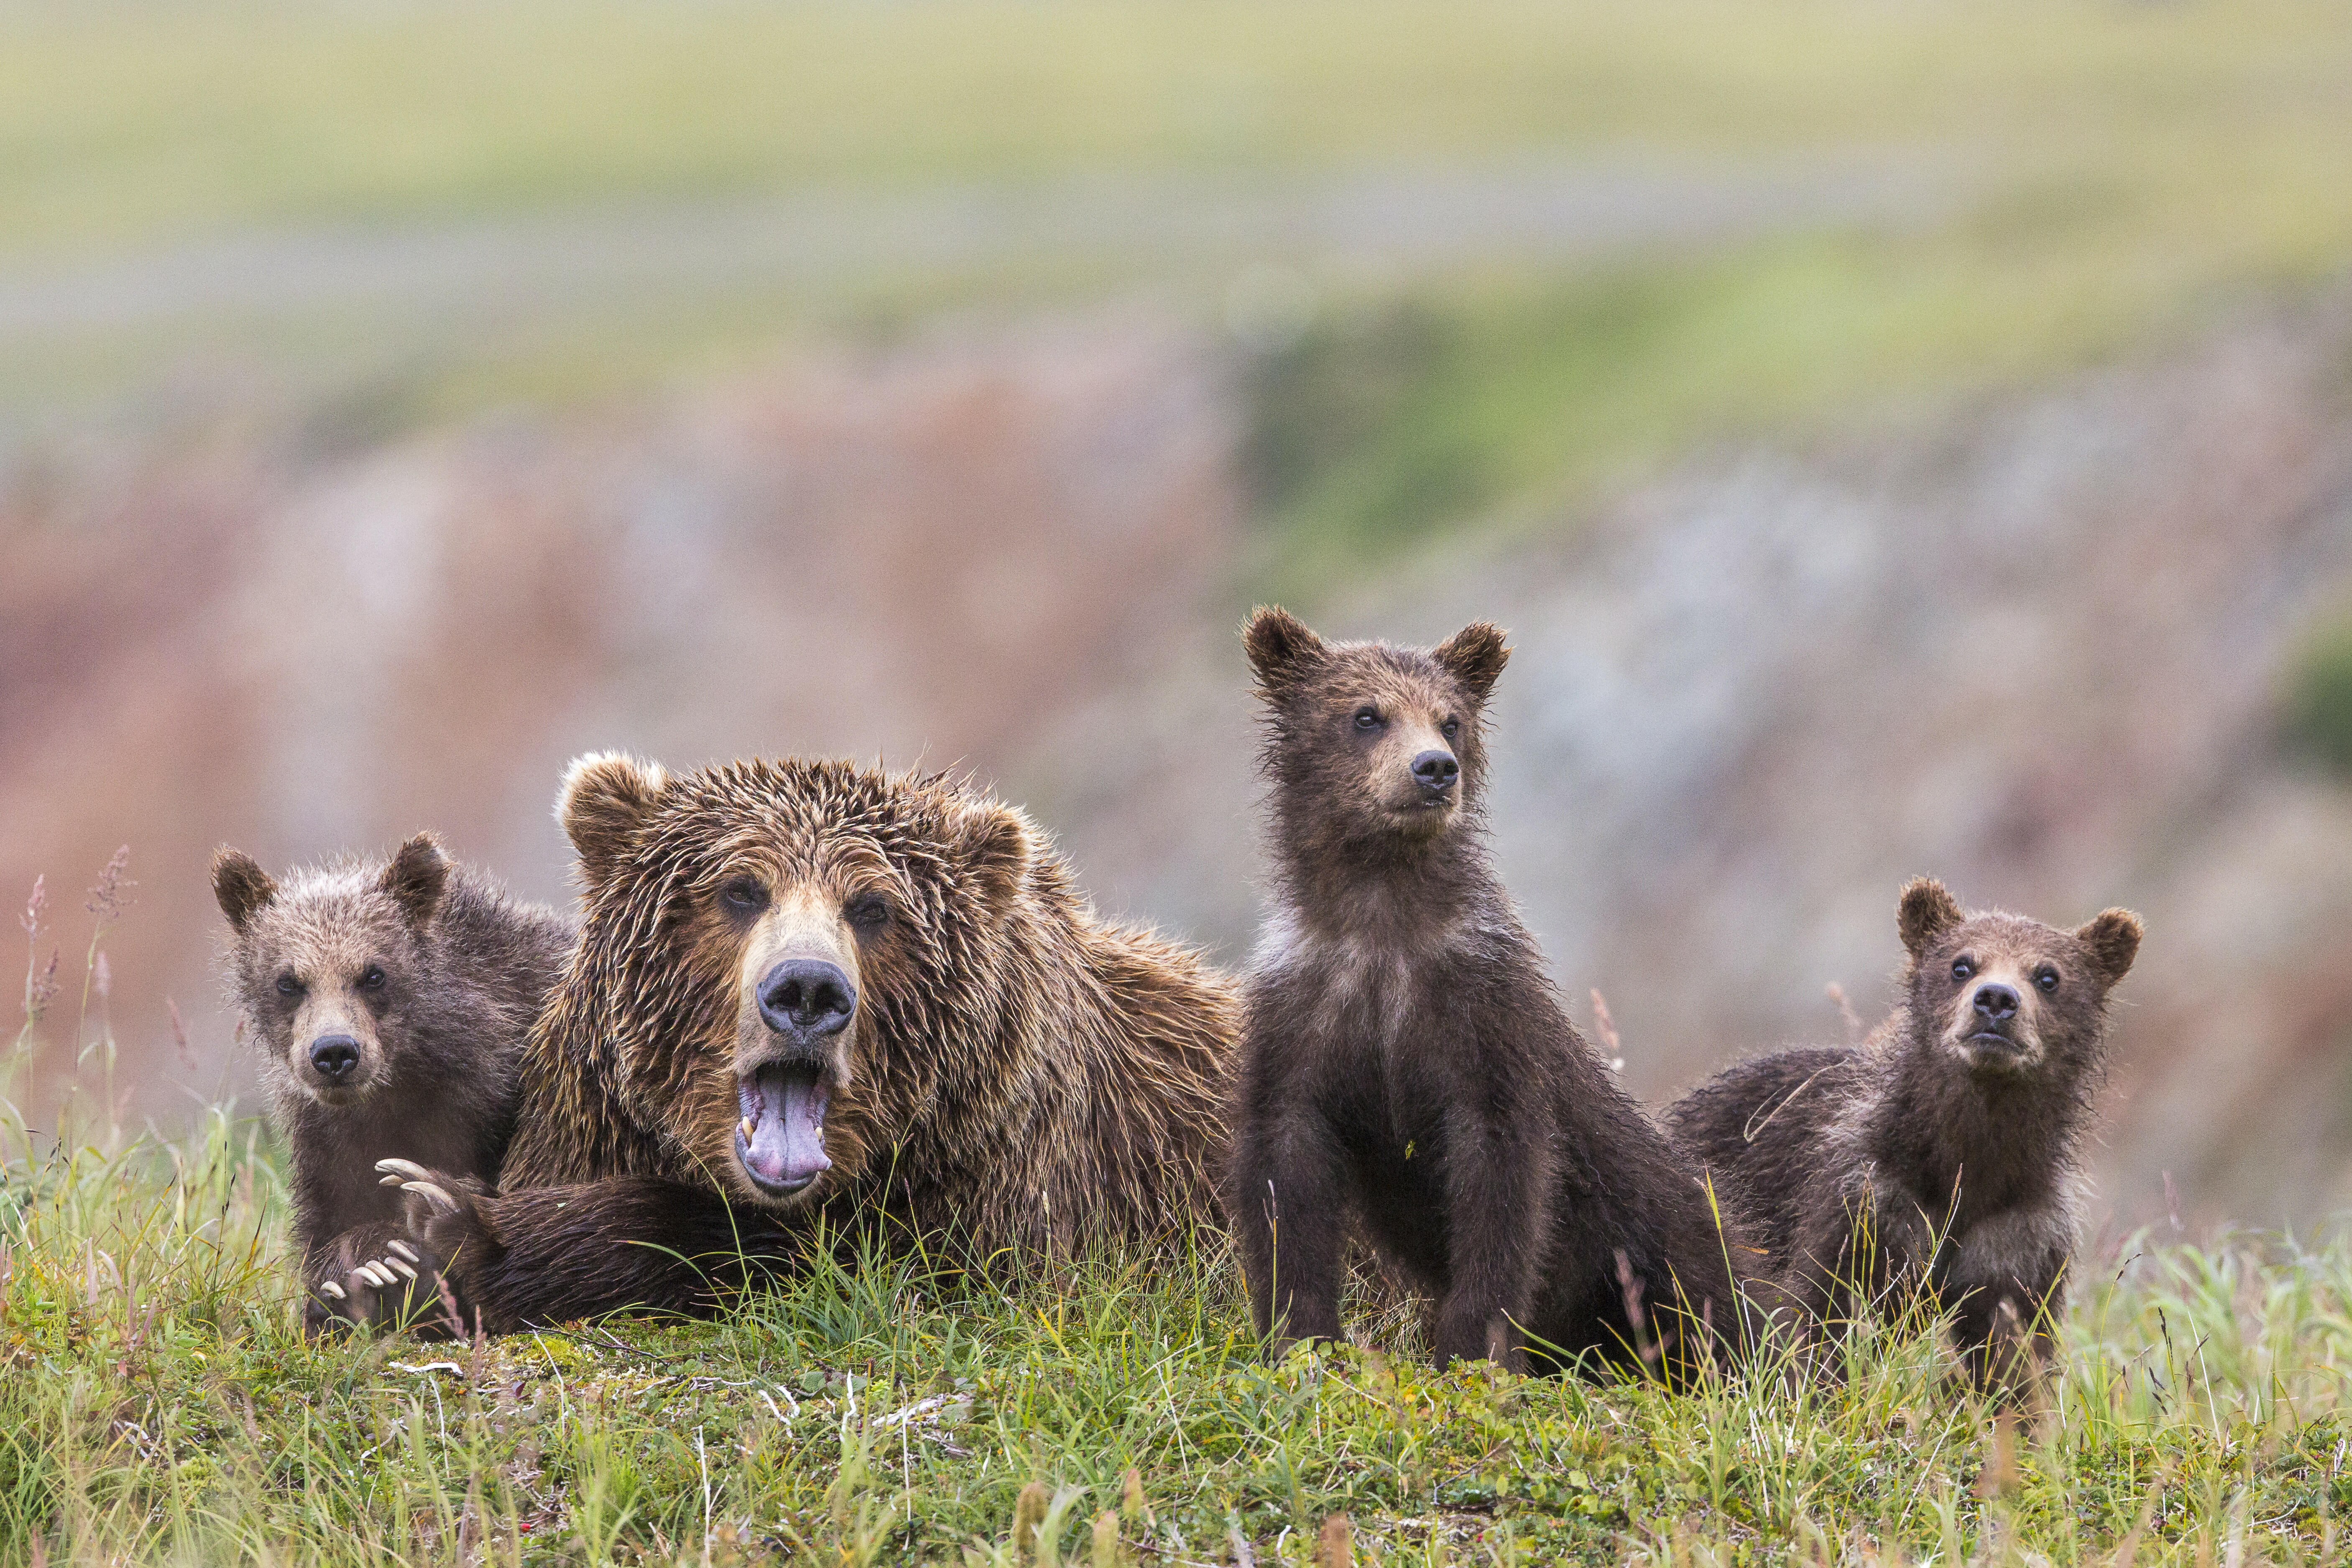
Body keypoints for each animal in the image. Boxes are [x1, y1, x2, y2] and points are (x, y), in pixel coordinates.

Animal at [364, 752, 1242, 1335]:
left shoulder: (1012, 1180)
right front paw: (388, 1252)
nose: (808, 992)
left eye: (874, 907)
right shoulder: (586, 1125)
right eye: (740, 891)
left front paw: (445, 1228)